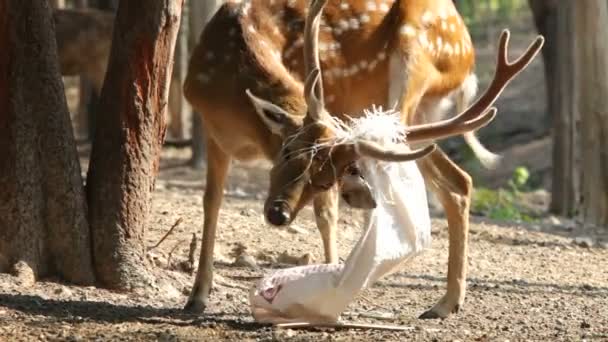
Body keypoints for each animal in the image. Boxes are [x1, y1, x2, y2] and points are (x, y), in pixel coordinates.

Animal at [183, 0, 544, 316]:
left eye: (325, 180)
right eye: (287, 150)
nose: (279, 213)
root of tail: (467, 51)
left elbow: (326, 213)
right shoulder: (210, 129)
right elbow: (211, 203)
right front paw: (196, 297)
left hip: (413, 62)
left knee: (450, 177)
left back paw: (446, 300)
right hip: (416, 117)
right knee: (459, 181)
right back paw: (446, 303)